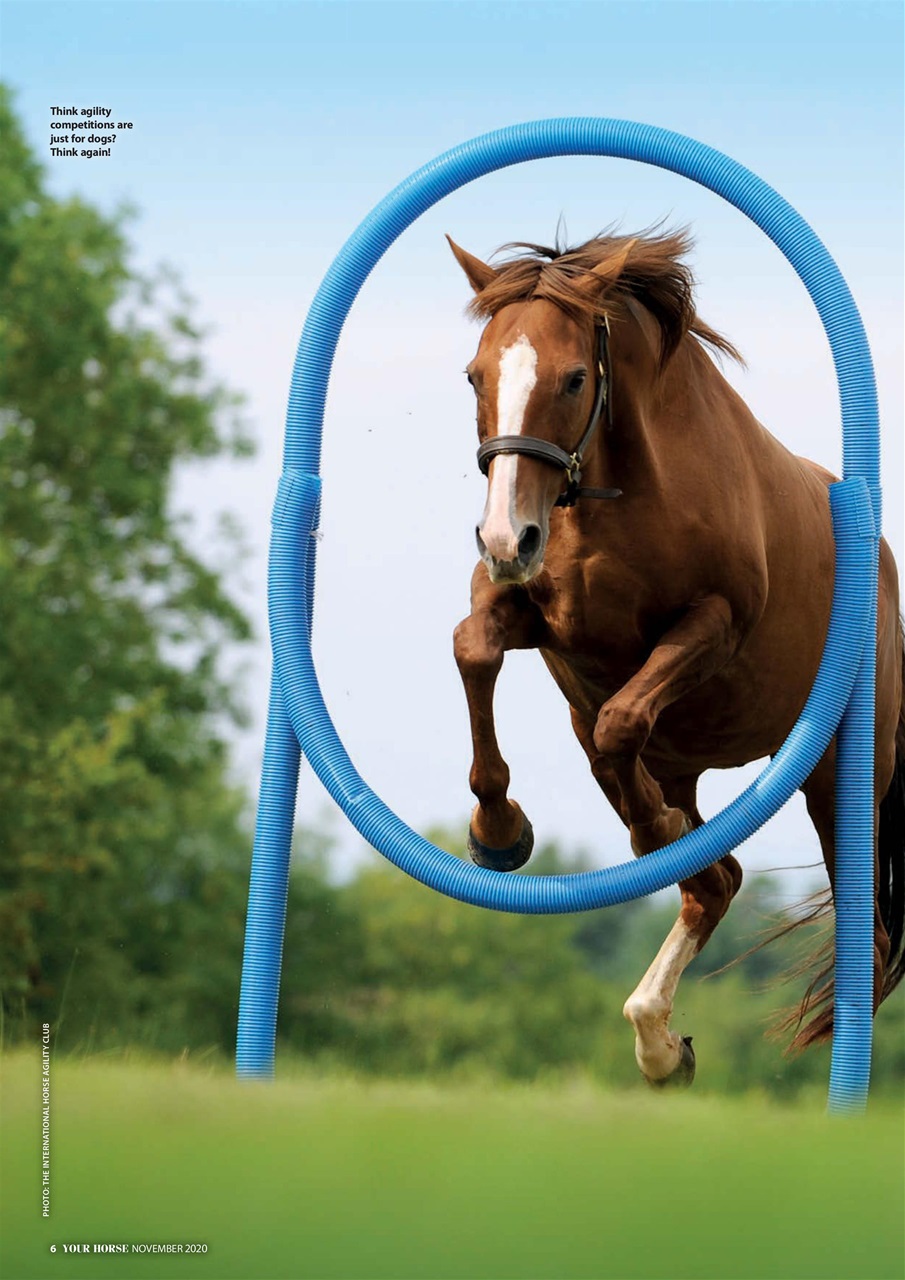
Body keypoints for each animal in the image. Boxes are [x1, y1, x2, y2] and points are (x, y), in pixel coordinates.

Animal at [448, 229, 905, 1087]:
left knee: (859, 934)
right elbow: (474, 650)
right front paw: (497, 831)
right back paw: (659, 1041)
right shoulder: (535, 617)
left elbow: (623, 718)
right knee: (710, 882)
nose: (502, 536)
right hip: (681, 758)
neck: (624, 494)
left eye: (573, 377)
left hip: (839, 773)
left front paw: (646, 825)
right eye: (474, 374)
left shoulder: (712, 626)